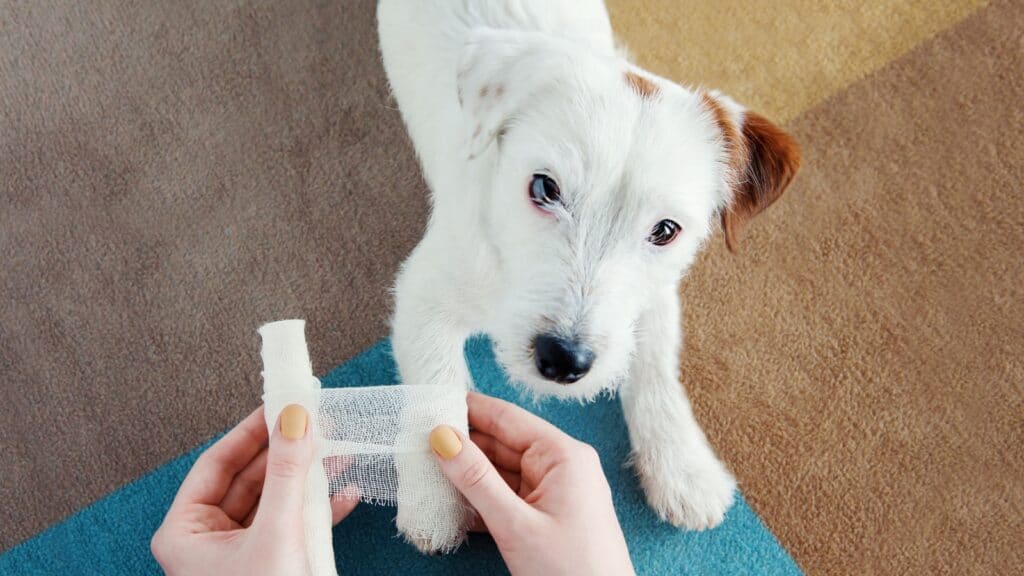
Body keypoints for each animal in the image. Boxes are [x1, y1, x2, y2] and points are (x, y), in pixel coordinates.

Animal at [376, 0, 798, 549]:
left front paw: (682, 467)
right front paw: (435, 499)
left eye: (665, 230)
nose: (563, 360)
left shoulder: (654, 297)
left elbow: (656, 366)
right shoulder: (424, 293)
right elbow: (434, 391)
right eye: (544, 187)